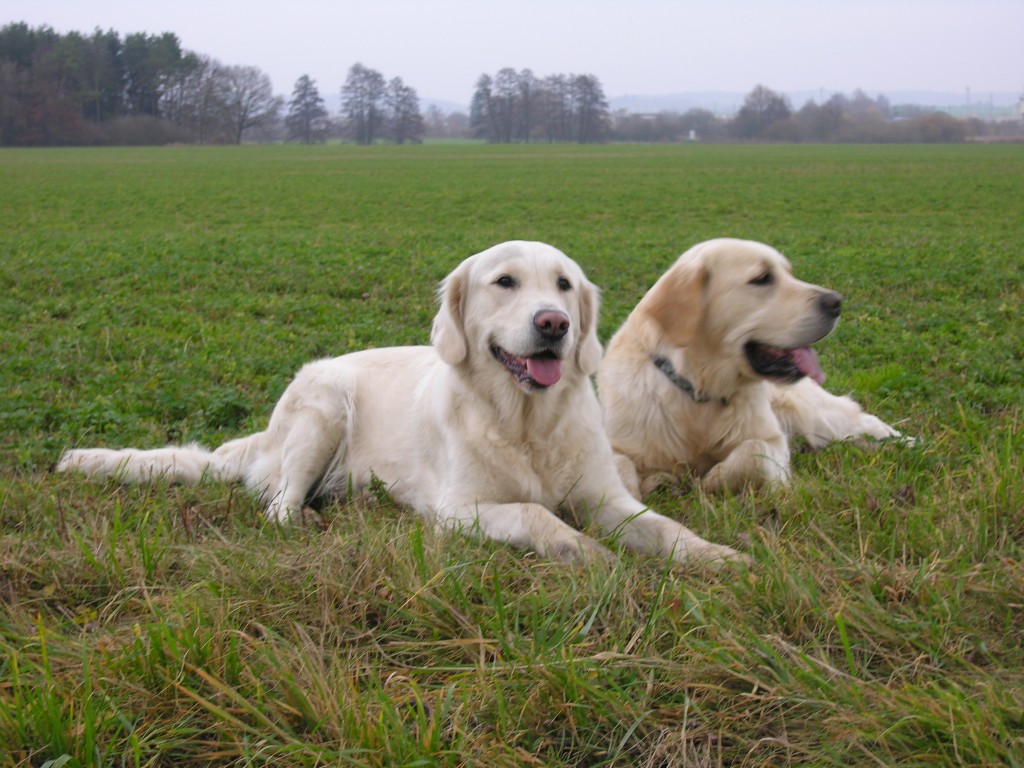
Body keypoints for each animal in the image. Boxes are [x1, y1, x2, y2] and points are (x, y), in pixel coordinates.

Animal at [58, 243, 745, 569]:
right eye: (505, 282)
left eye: (564, 285)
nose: (554, 323)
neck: (525, 423)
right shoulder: (457, 511)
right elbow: (535, 513)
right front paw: (587, 552)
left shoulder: (608, 498)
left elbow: (665, 527)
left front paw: (720, 558)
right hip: (323, 408)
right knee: (277, 503)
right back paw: (304, 517)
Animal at [598, 236, 909, 499]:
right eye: (762, 279)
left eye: (790, 273)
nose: (836, 301)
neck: (699, 392)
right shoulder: (619, 442)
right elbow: (620, 466)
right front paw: (652, 485)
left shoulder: (772, 440)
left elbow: (753, 452)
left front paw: (712, 479)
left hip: (817, 415)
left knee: (865, 422)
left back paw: (908, 444)